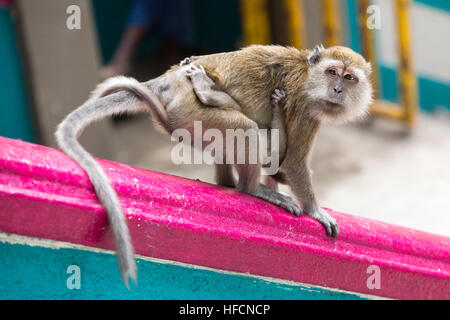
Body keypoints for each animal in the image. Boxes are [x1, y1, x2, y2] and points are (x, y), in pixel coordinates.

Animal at [55, 43, 372, 286]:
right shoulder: (306, 108)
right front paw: (316, 212)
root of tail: (168, 81)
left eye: (349, 78)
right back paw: (251, 188)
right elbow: (292, 162)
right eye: (332, 73)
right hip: (193, 112)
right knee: (245, 129)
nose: (337, 90)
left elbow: (279, 164)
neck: (308, 75)